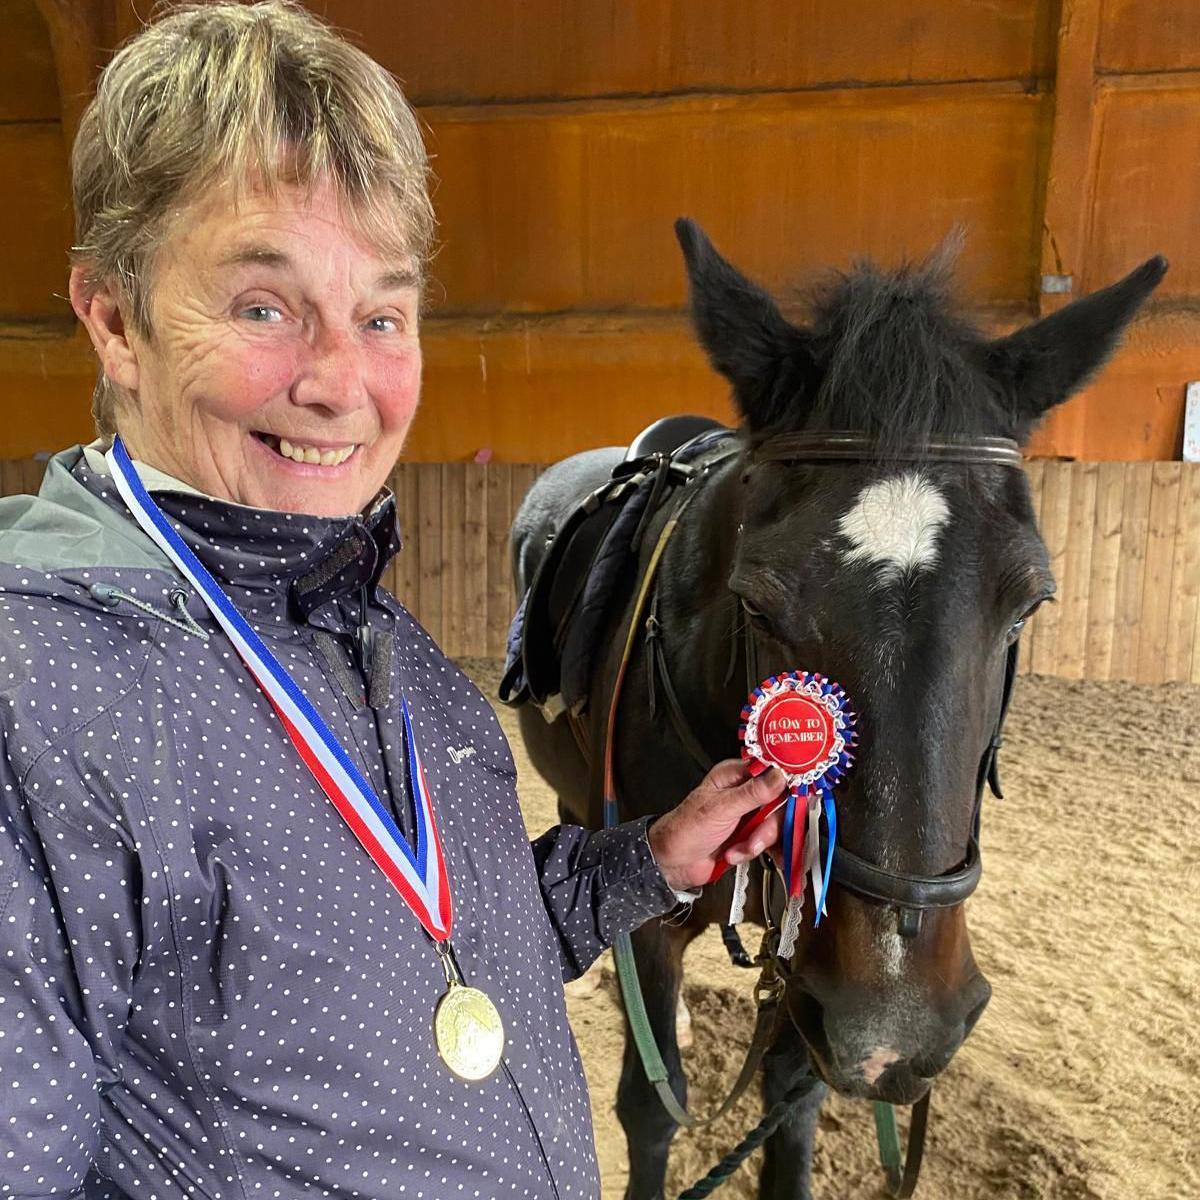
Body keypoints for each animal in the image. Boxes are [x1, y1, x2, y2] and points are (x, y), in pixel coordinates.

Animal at [508, 225, 1161, 1200]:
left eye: (1029, 604)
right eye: (758, 605)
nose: (894, 1031)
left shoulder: (811, 971)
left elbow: (793, 1100)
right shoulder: (660, 918)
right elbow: (651, 1109)